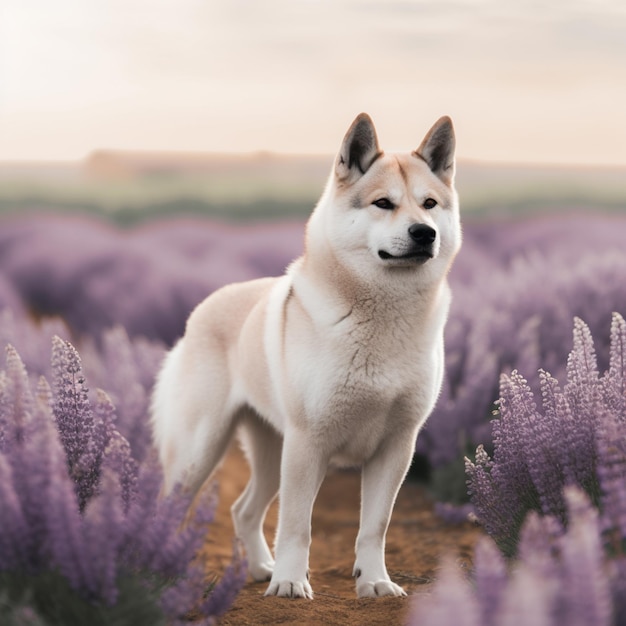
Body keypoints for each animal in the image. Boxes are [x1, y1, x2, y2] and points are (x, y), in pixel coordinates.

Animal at [151, 114, 460, 596]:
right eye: (383, 203)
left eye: (429, 204)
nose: (424, 233)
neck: (383, 318)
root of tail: (202, 308)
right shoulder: (308, 442)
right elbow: (298, 525)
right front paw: (290, 584)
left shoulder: (397, 446)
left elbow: (375, 526)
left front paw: (374, 582)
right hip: (201, 450)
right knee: (175, 507)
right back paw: (164, 572)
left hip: (268, 449)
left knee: (243, 510)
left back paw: (260, 567)